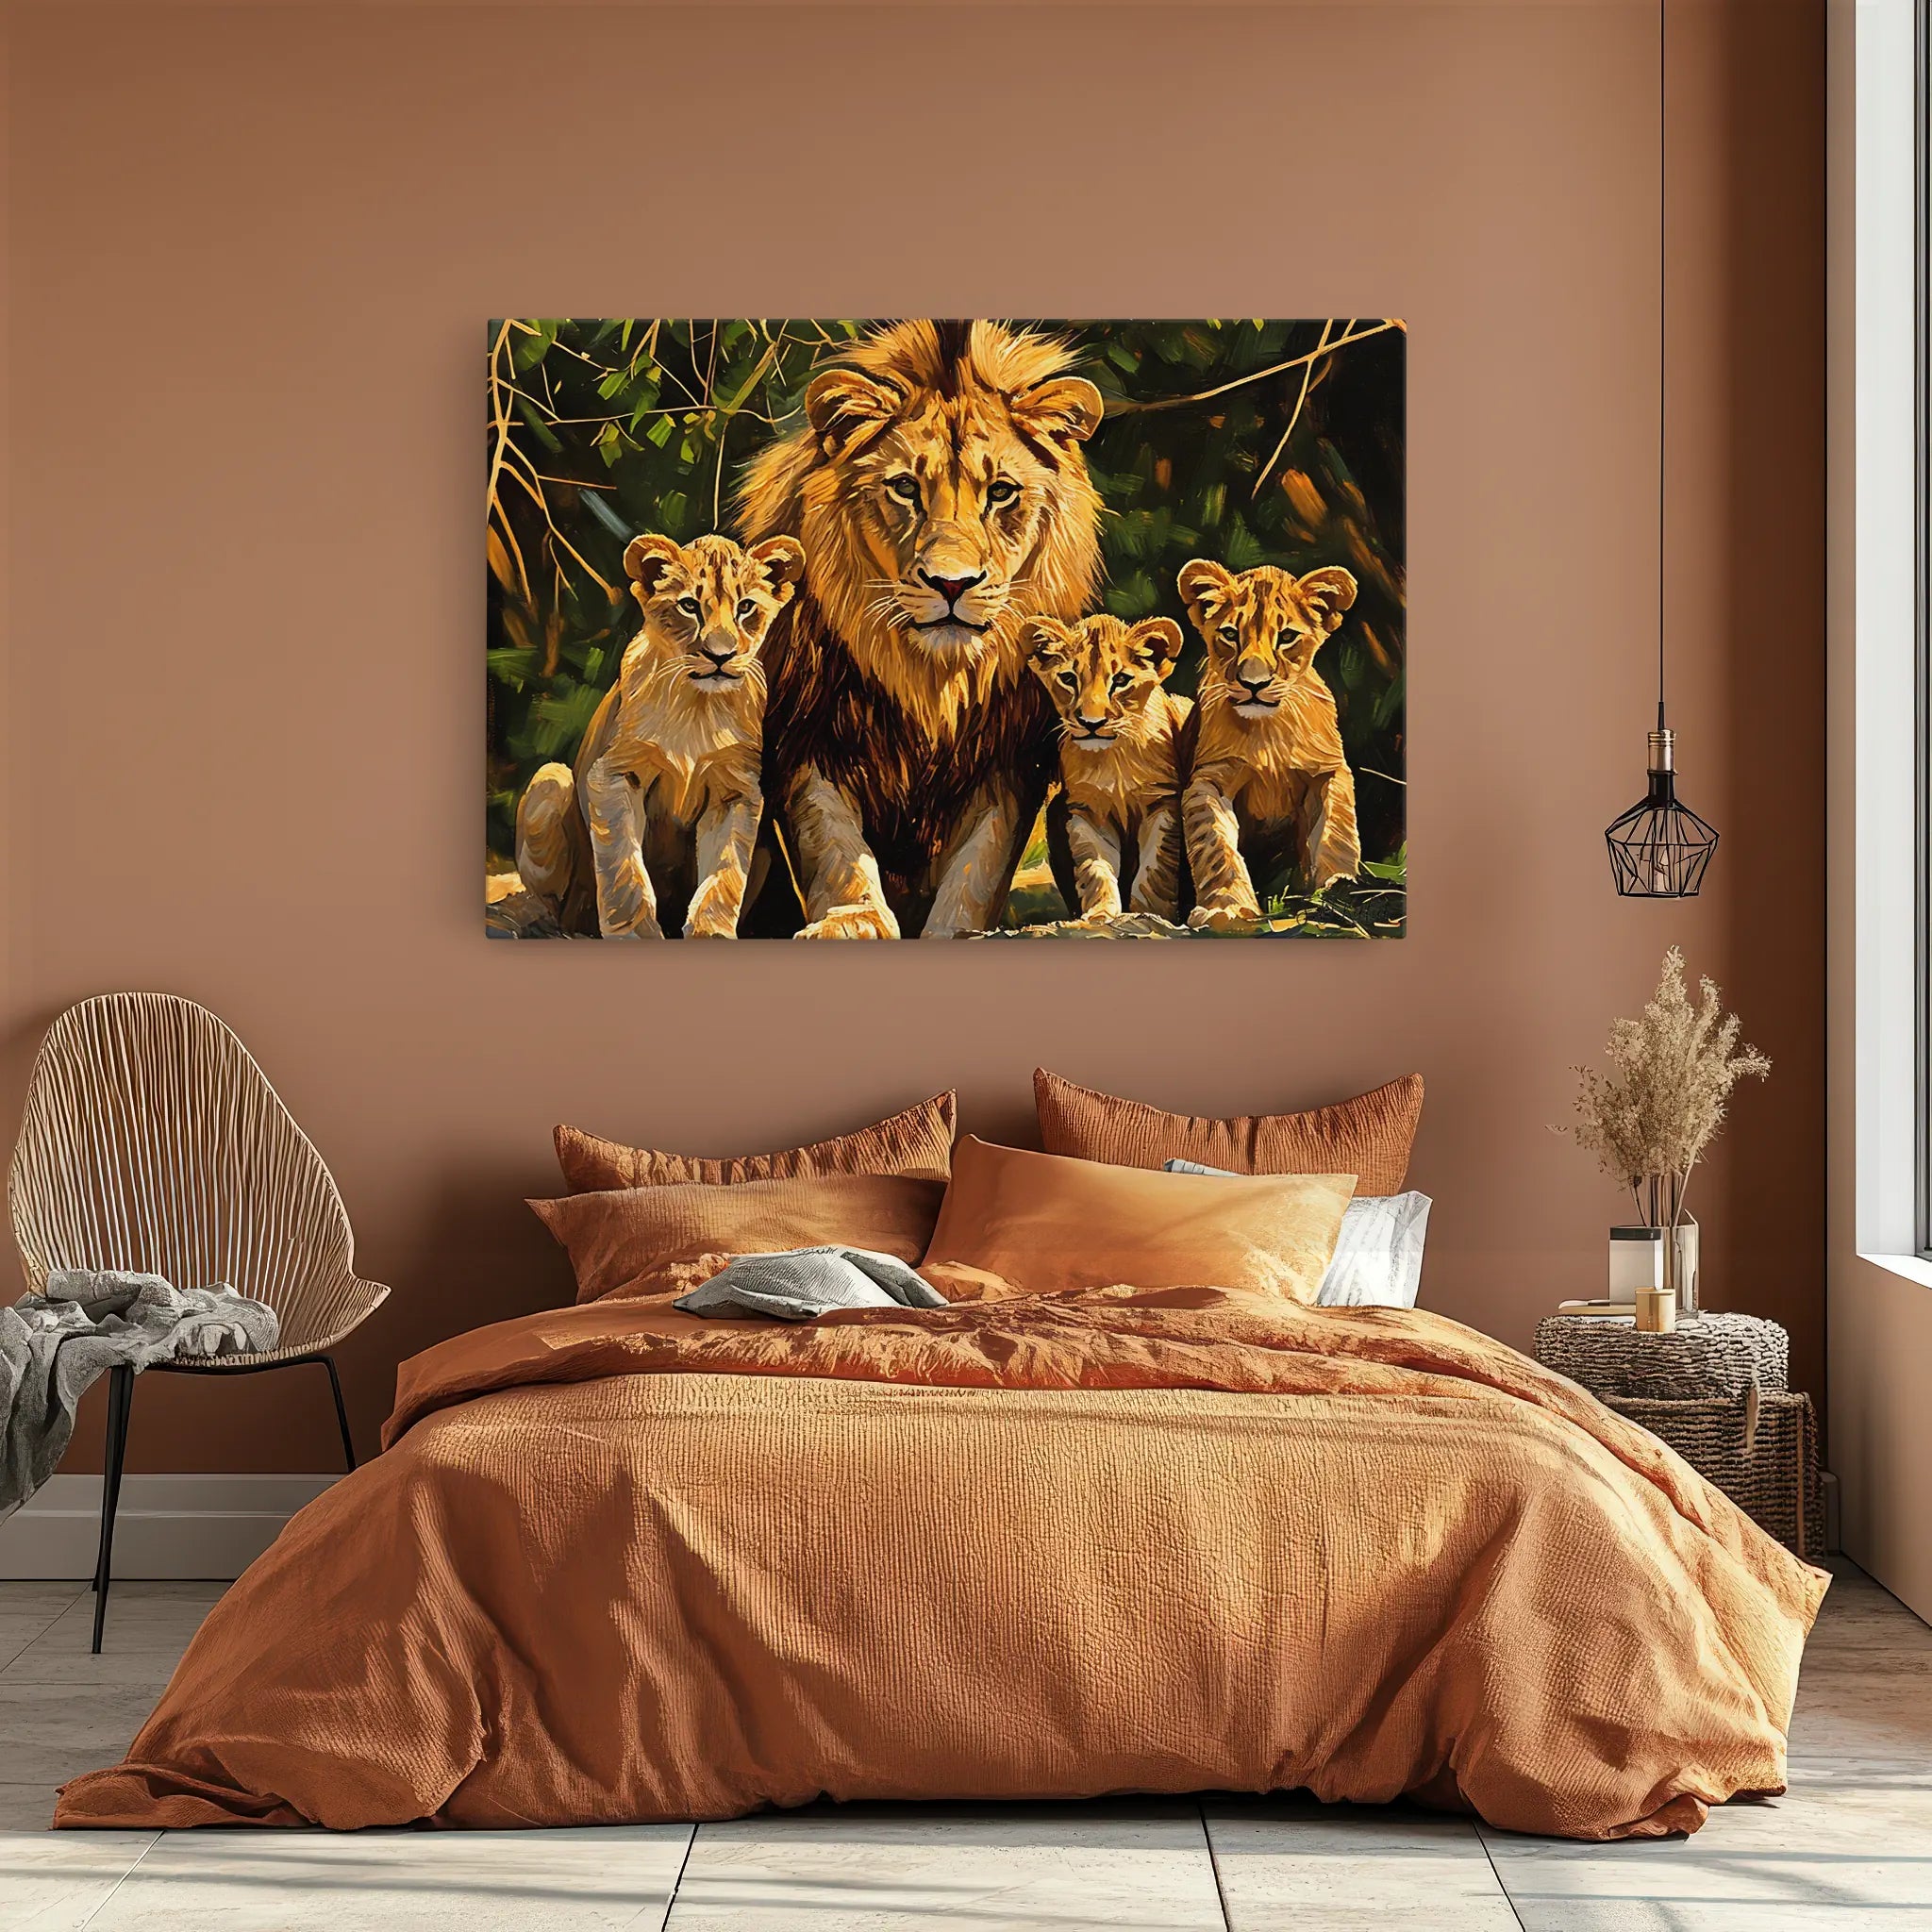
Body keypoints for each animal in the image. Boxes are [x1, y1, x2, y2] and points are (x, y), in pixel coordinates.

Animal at [514, 531, 804, 938]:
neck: (697, 706)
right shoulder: (615, 774)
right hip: (551, 779)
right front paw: (634, 933)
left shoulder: (737, 790)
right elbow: (624, 869)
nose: (720, 656)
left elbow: (725, 874)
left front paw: (711, 932)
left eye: (746, 607)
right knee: (555, 903)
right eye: (689, 606)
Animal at [736, 320, 1105, 938]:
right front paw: (853, 919)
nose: (951, 584)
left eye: (1001, 492)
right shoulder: (808, 738)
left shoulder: (1006, 762)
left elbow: (978, 868)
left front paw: (956, 930)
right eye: (905, 488)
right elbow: (834, 849)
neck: (931, 679)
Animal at [1022, 613, 1192, 923]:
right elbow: (1096, 868)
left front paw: (1150, 914)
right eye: (1068, 678)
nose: (1091, 723)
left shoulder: (1162, 803)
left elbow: (1154, 869)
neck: (1112, 758)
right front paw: (1100, 914)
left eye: (1121, 680)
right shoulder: (1086, 811)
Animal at [1175, 558, 1361, 930]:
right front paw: (1227, 907)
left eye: (1287, 637)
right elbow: (1215, 844)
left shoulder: (1327, 772)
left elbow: (1336, 831)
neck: (1268, 732)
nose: (1254, 684)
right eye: (1230, 634)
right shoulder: (1209, 779)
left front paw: (1339, 891)